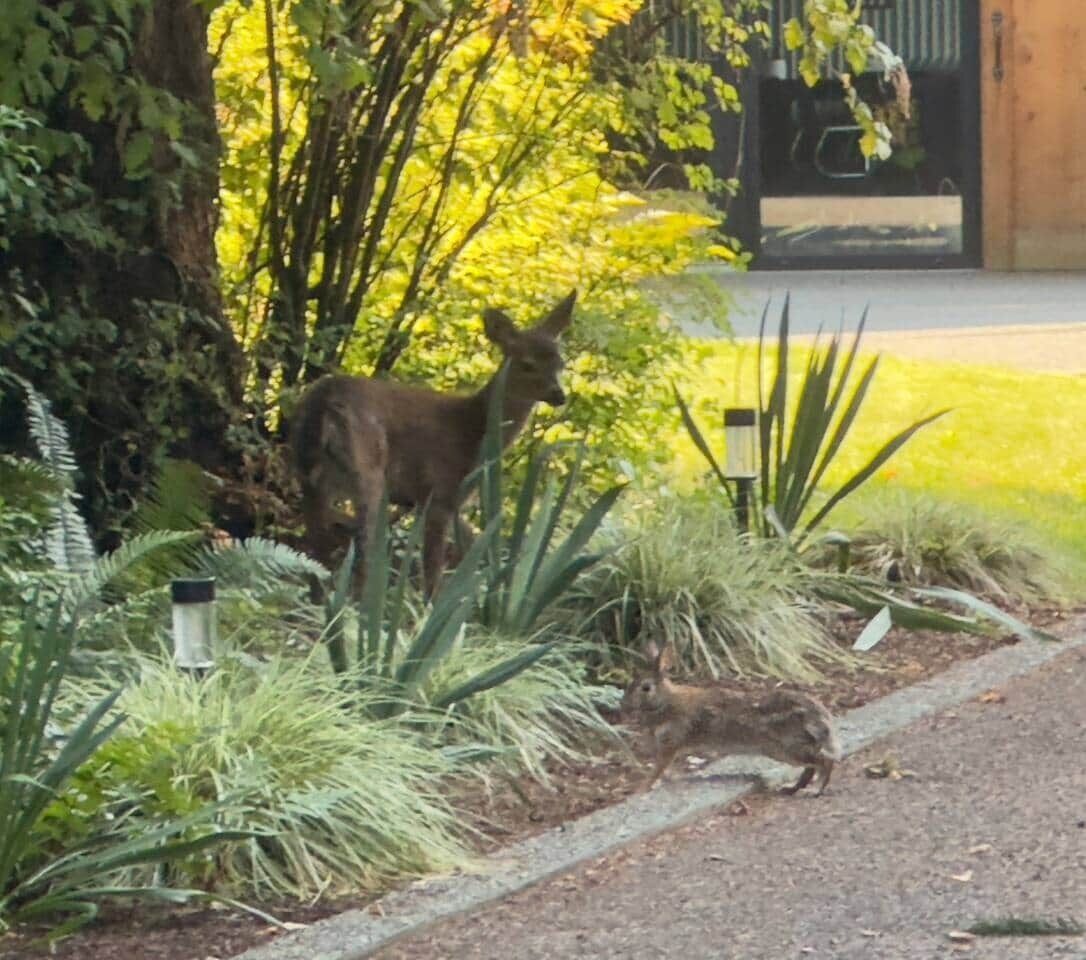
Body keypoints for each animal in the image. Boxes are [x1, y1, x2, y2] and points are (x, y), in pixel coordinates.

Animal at [621, 641, 842, 796]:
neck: (666, 700)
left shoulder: (670, 744)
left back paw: (815, 790)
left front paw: (640, 790)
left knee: (824, 761)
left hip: (787, 749)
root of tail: (818, 718)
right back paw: (791, 788)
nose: (624, 705)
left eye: (646, 688)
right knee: (811, 767)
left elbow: (657, 770)